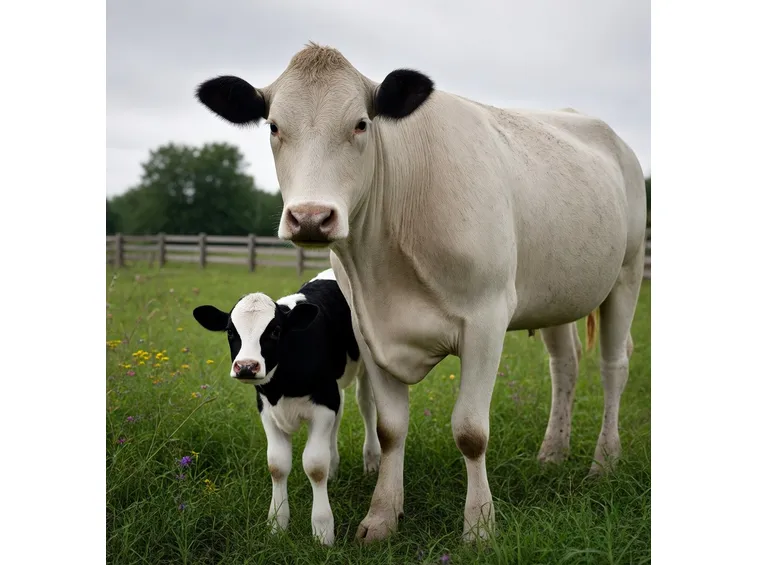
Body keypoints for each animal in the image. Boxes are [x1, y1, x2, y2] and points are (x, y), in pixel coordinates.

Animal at [192, 268, 381, 546]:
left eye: (275, 331)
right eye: (230, 332)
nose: (246, 366)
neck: (282, 386)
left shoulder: (323, 405)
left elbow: (314, 466)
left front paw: (322, 531)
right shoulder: (267, 410)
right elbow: (277, 465)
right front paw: (277, 525)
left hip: (365, 367)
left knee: (366, 406)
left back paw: (372, 461)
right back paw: (335, 466)